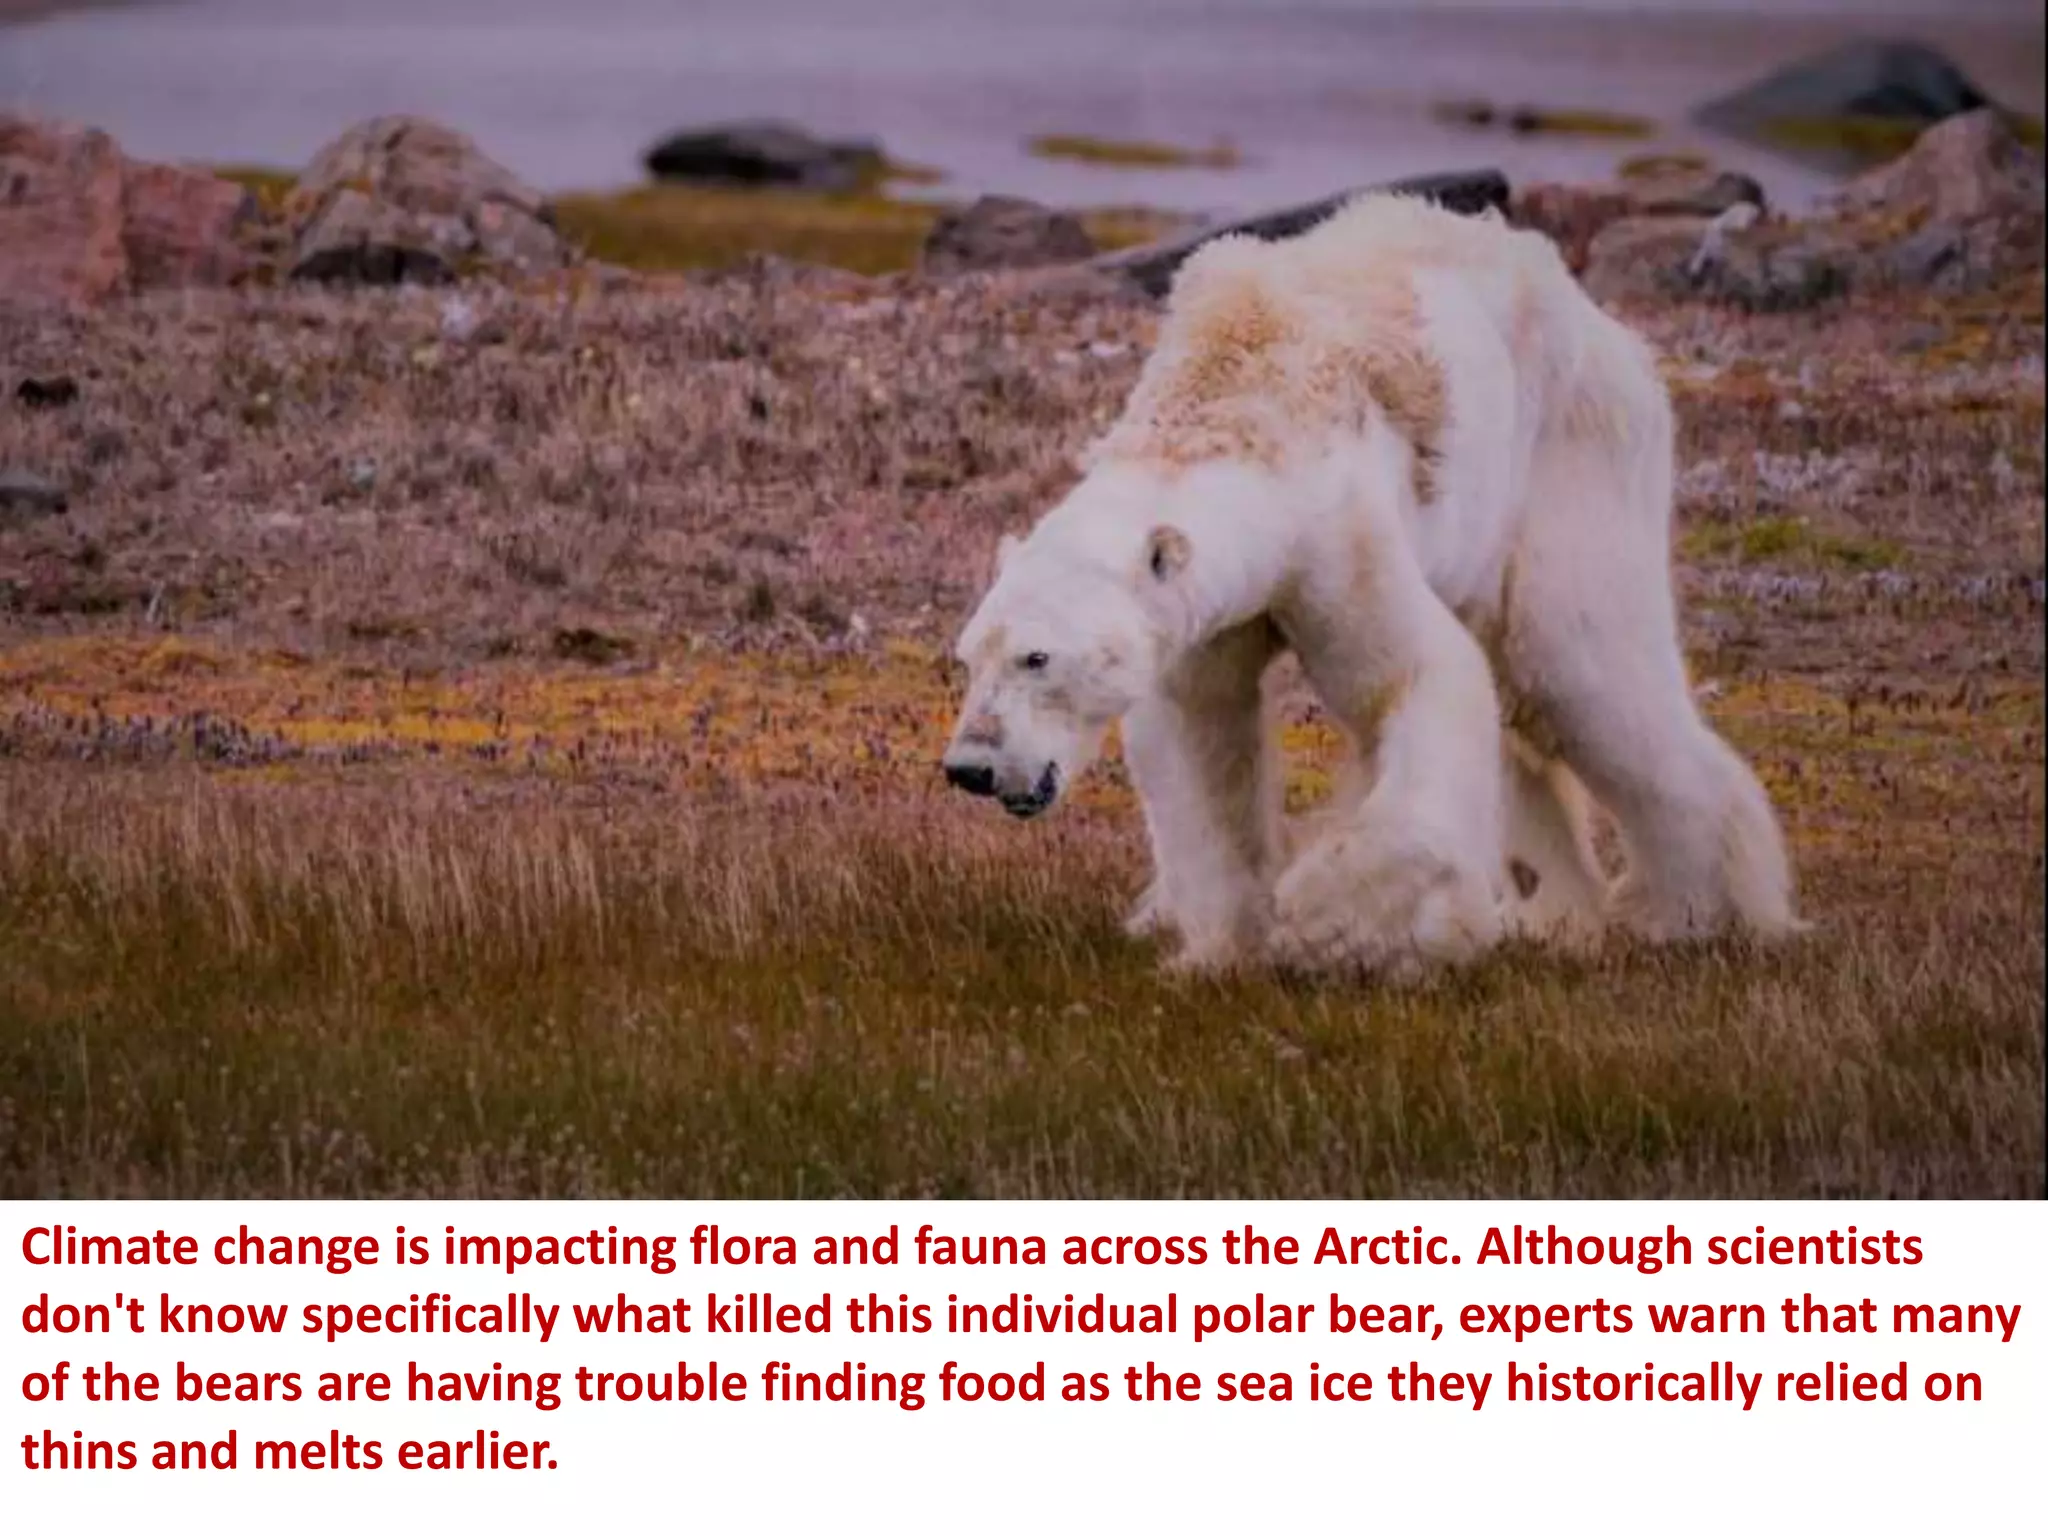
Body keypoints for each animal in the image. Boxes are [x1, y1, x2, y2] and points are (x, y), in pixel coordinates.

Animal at [941, 192, 1799, 975]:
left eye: (1037, 658)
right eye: (969, 657)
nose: (970, 767)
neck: (1237, 397)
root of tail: (1607, 328)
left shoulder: (1335, 536)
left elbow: (1415, 678)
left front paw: (1330, 922)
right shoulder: (1206, 614)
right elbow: (1200, 735)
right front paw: (1220, 947)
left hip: (1571, 459)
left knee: (1581, 669)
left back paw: (1693, 914)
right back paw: (1548, 912)